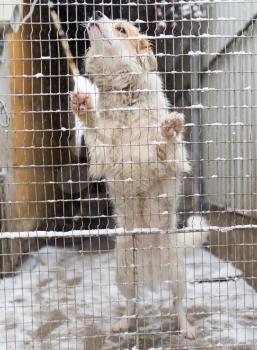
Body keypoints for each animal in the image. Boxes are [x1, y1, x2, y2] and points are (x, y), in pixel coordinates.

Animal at [70, 11, 196, 340]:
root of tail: (151, 267)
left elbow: (163, 147)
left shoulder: (163, 158)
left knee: (178, 304)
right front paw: (83, 107)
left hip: (177, 272)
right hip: (125, 270)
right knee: (132, 302)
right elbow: (95, 129)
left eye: (121, 28)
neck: (125, 97)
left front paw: (169, 130)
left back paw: (186, 328)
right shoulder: (105, 152)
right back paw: (125, 323)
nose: (96, 14)